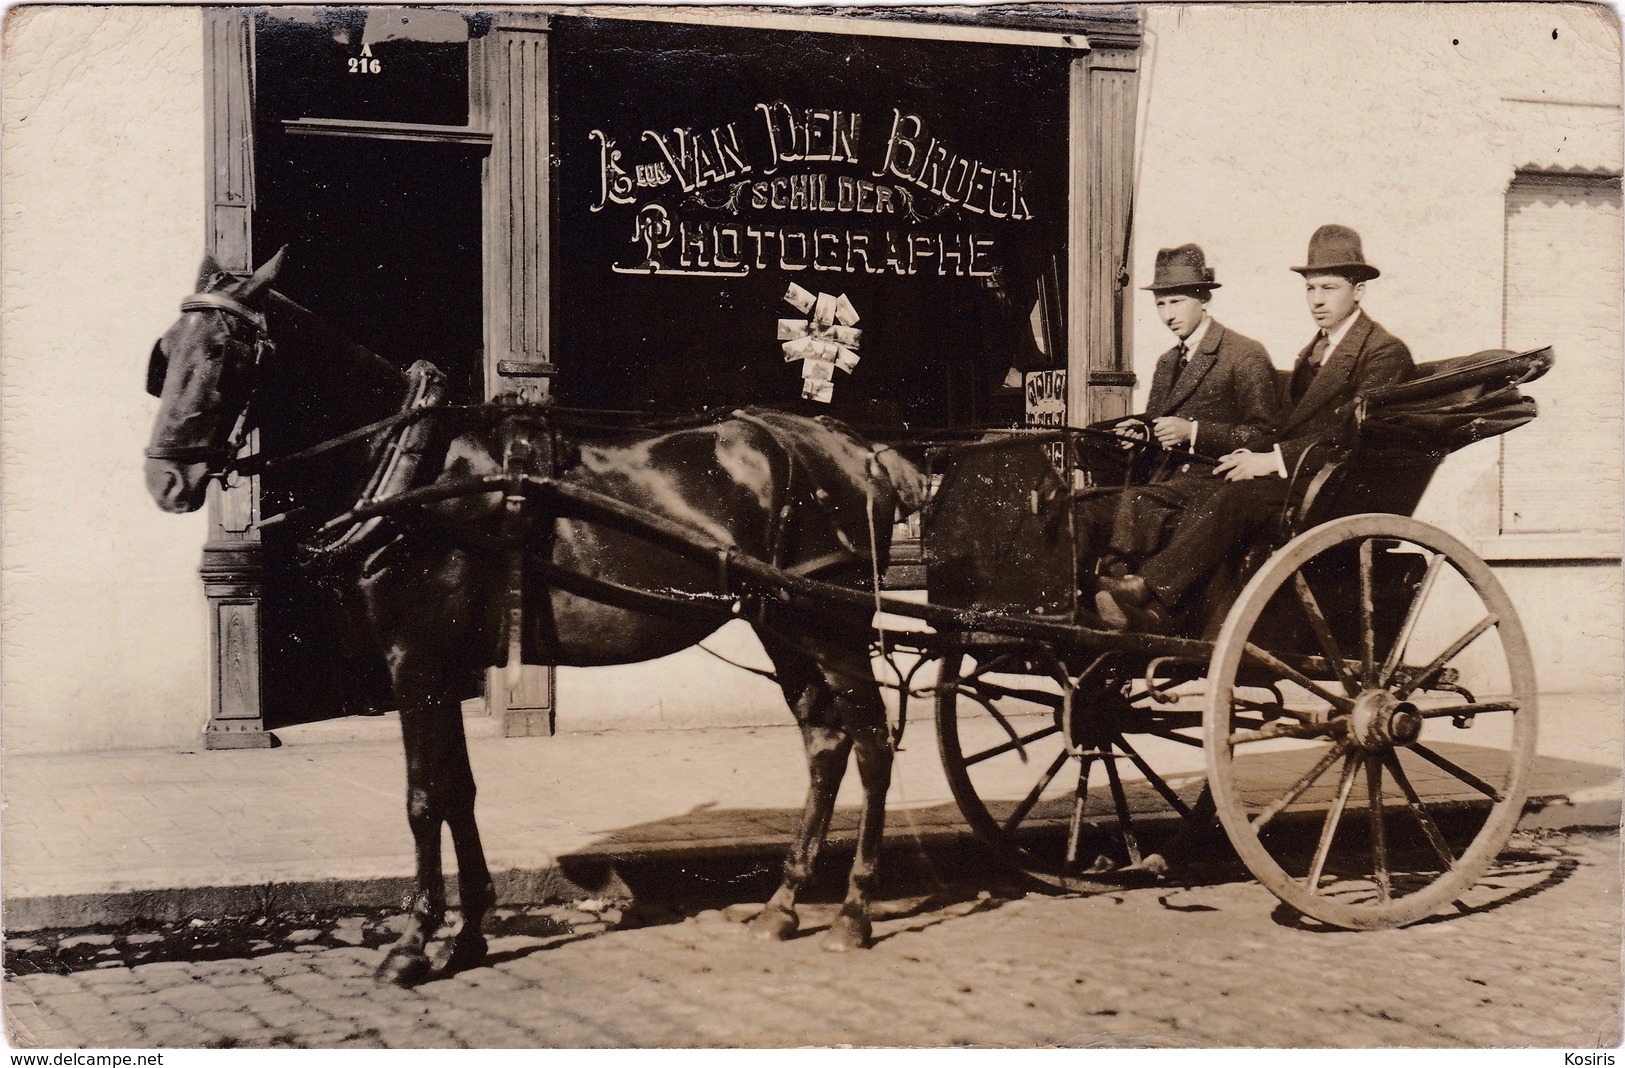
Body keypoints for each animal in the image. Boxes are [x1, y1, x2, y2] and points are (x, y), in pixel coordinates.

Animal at [143, 250, 929, 981]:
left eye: (225, 353)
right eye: (165, 354)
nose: (165, 479)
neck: (416, 468)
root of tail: (864, 448)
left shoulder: (415, 659)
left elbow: (423, 796)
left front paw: (412, 942)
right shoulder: (444, 664)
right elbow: (459, 791)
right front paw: (467, 934)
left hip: (827, 623)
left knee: (871, 742)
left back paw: (855, 910)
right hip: (781, 623)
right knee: (825, 742)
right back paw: (783, 903)